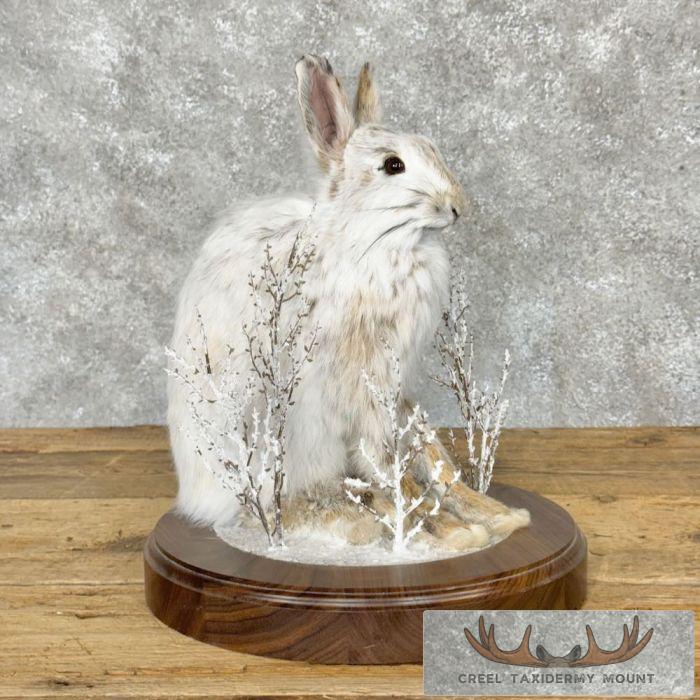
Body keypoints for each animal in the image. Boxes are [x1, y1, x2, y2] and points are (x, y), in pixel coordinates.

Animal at [168, 55, 529, 550]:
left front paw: (492, 517)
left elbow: (428, 455)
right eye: (393, 165)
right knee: (281, 503)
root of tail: (196, 494)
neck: (375, 243)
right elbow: (389, 466)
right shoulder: (356, 390)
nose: (459, 206)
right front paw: (450, 531)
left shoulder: (397, 385)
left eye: (431, 148)